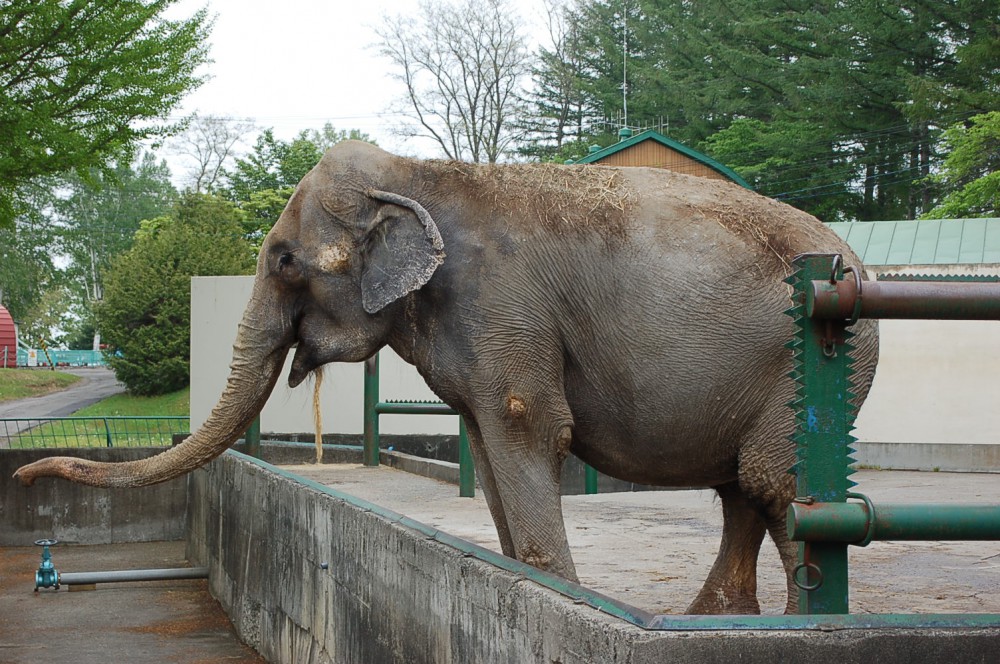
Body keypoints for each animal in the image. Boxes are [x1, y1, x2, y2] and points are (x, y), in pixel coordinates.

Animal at [15, 141, 876, 616]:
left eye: (285, 261)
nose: (24, 476)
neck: (417, 173)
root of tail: (859, 267)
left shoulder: (505, 307)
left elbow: (529, 426)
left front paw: (562, 596)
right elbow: (487, 448)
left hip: (817, 363)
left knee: (769, 483)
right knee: (741, 490)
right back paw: (721, 617)